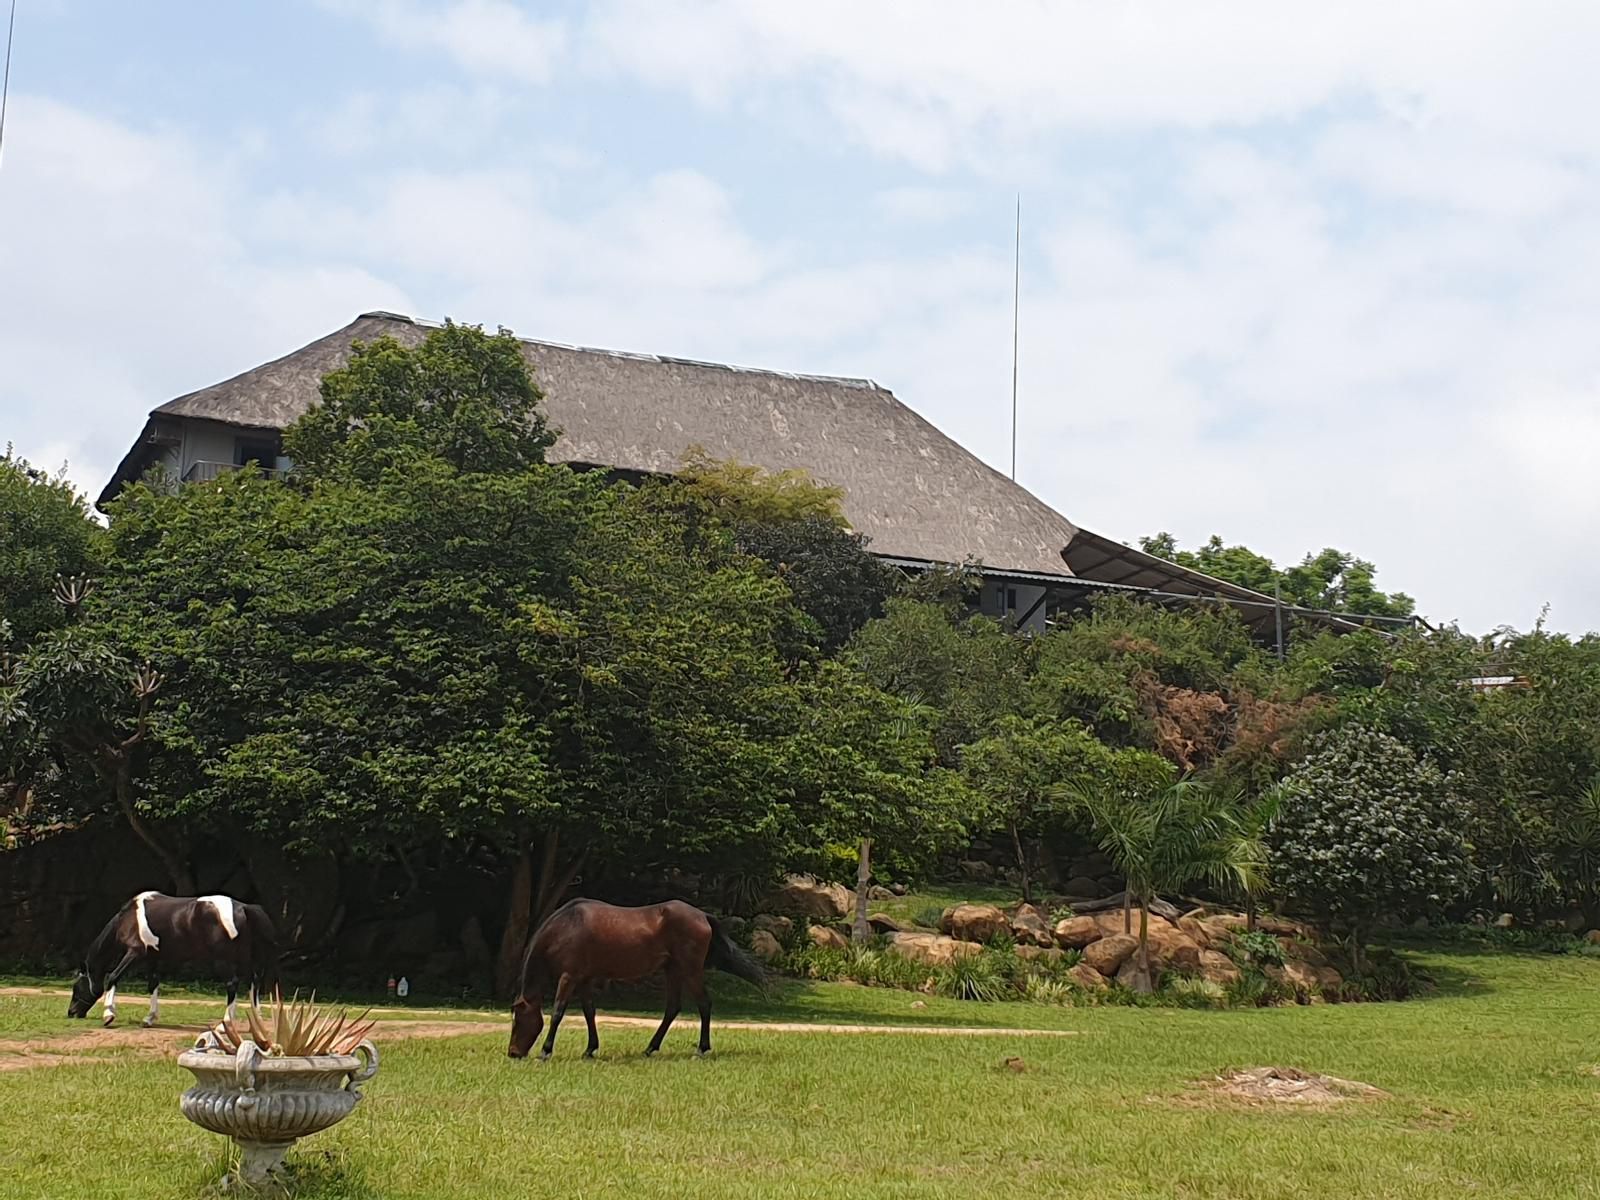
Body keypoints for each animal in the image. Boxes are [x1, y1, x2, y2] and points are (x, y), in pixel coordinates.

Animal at [65, 889, 276, 1030]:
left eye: (76, 987)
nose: (71, 1013)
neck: (129, 918)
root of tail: (244, 907)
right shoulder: (153, 959)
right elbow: (153, 985)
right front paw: (149, 1018)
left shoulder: (135, 953)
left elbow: (112, 977)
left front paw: (108, 1015)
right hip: (247, 959)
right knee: (254, 983)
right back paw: (256, 1021)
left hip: (224, 960)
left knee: (233, 984)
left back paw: (226, 1023)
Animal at [508, 902, 764, 1062]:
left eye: (518, 1020)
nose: (513, 1053)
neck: (567, 926)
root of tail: (702, 915)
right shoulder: (584, 979)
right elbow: (589, 1012)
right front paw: (590, 1049)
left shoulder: (569, 977)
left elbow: (558, 1013)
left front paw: (545, 1052)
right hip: (672, 971)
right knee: (672, 1008)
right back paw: (650, 1048)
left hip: (690, 971)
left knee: (704, 1004)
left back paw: (701, 1049)